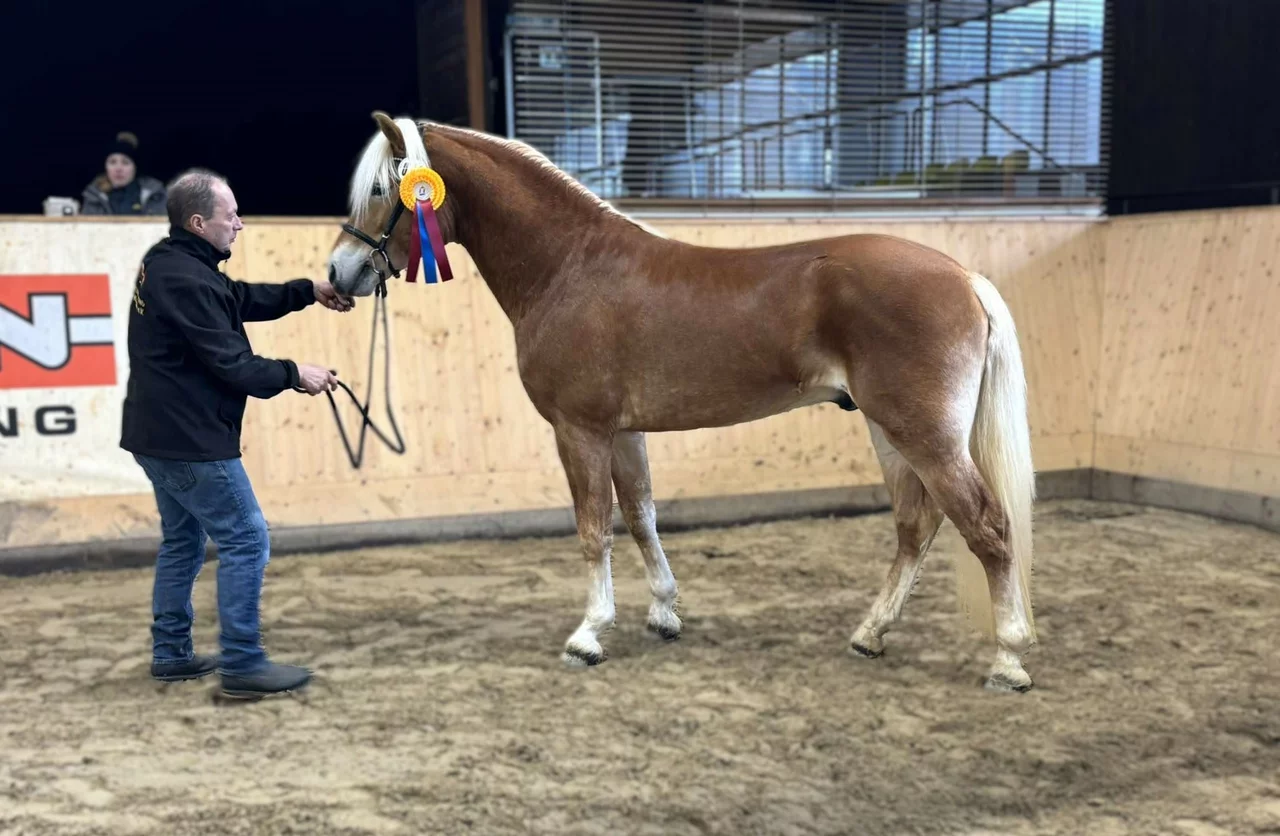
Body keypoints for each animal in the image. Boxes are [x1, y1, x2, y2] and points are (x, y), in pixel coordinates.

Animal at [326, 111, 1039, 692]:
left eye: (383, 190)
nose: (339, 273)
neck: (569, 266)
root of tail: (965, 277)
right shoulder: (622, 432)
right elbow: (641, 516)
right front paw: (664, 612)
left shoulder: (579, 429)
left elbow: (594, 528)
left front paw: (588, 635)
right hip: (891, 434)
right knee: (917, 526)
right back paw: (870, 634)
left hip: (924, 435)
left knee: (988, 527)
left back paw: (1009, 658)